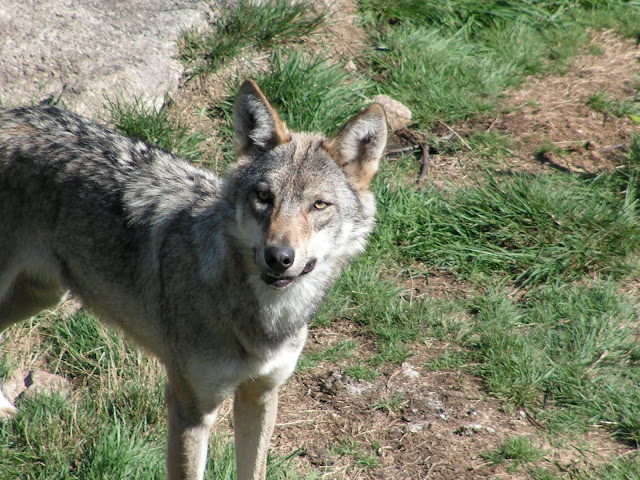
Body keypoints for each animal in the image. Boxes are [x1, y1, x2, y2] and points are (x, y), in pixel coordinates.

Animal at [0, 80, 388, 478]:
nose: (279, 257)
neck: (260, 317)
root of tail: (11, 112)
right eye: (264, 197)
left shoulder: (261, 395)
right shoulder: (190, 410)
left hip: (45, 295)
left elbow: (254, 468)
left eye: (319, 205)